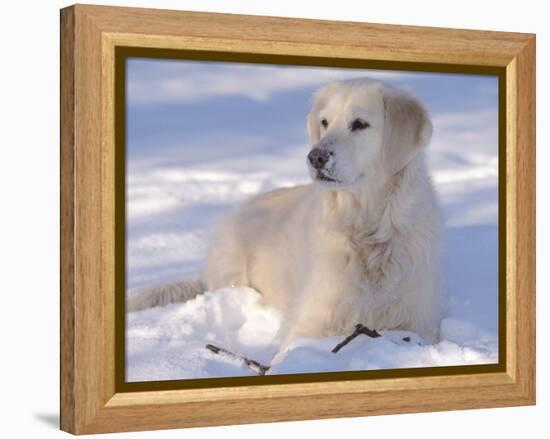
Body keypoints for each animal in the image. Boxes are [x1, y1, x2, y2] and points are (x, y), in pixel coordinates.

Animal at [129, 77, 444, 348]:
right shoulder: (309, 322)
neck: (367, 230)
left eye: (360, 124)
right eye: (325, 122)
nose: (316, 157)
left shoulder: (418, 324)